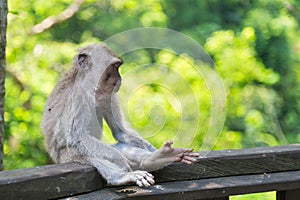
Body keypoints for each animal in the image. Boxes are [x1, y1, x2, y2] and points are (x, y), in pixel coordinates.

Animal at [40, 43, 199, 188]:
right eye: (114, 66)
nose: (119, 78)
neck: (91, 88)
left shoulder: (108, 95)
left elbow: (120, 131)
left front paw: (155, 152)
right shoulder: (78, 96)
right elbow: (77, 137)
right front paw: (122, 164)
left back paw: (155, 158)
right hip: (67, 157)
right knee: (86, 152)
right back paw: (122, 176)